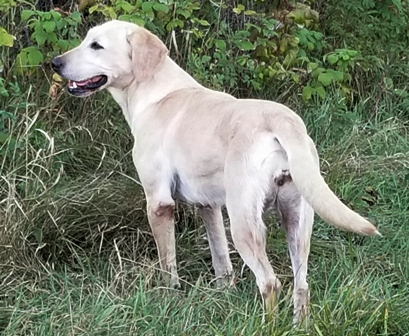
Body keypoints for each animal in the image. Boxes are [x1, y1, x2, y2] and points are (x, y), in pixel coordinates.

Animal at [51, 19, 380, 324]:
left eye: (97, 46)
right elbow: (221, 258)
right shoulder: (208, 205)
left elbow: (167, 262)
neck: (156, 91)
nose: (55, 63)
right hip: (298, 220)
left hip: (244, 222)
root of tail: (280, 119)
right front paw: (224, 293)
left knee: (270, 282)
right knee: (301, 285)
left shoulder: (159, 203)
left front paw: (168, 295)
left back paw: (268, 325)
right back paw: (299, 325)